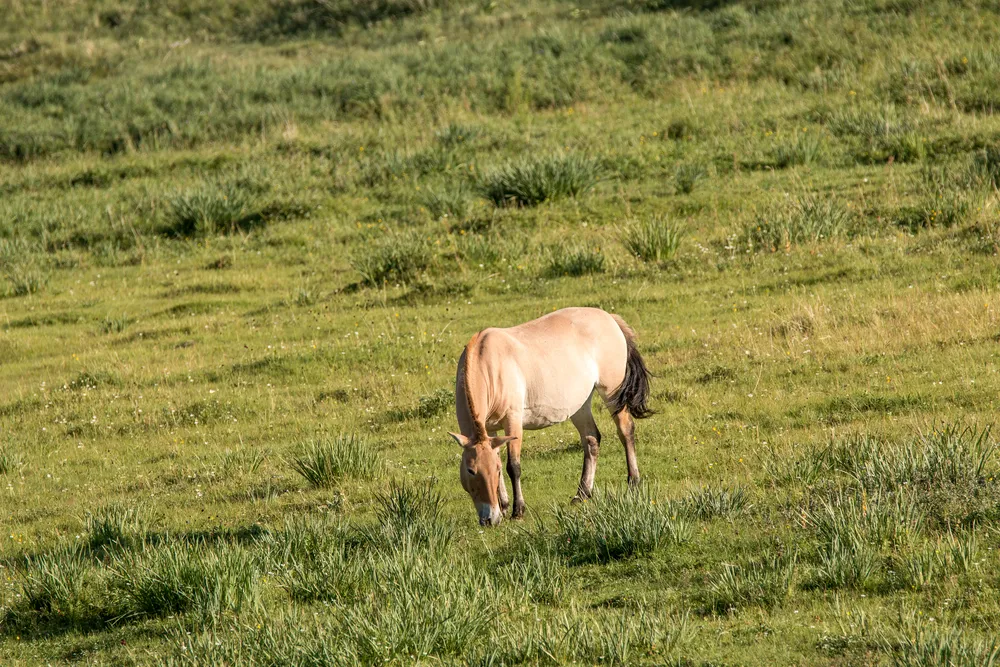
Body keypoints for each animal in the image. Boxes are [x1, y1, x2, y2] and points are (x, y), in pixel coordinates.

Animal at [448, 307, 653, 526]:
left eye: (492, 470)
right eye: (471, 470)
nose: (490, 519)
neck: (489, 363)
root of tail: (609, 317)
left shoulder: (513, 422)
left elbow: (513, 466)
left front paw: (517, 510)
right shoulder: (491, 430)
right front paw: (504, 507)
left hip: (612, 392)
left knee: (625, 430)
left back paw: (633, 481)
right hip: (580, 405)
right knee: (591, 439)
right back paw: (582, 494)